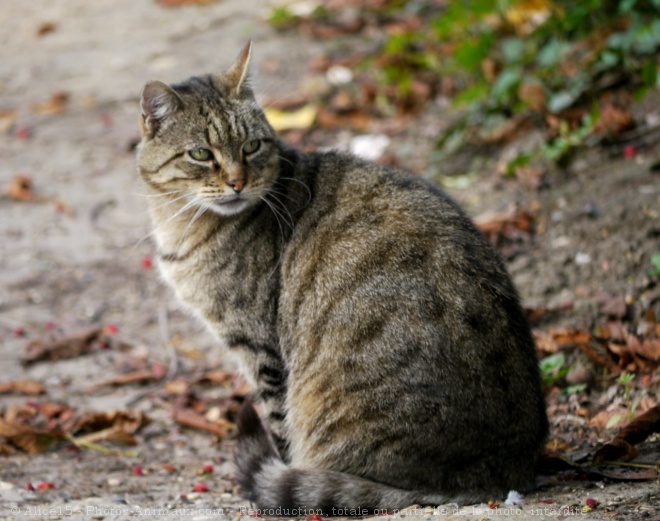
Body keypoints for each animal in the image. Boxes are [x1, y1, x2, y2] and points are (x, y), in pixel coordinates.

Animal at [137, 43, 548, 512]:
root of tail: (502, 470)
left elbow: (279, 431)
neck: (181, 223)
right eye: (201, 154)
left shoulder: (262, 351)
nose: (238, 183)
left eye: (252, 146)